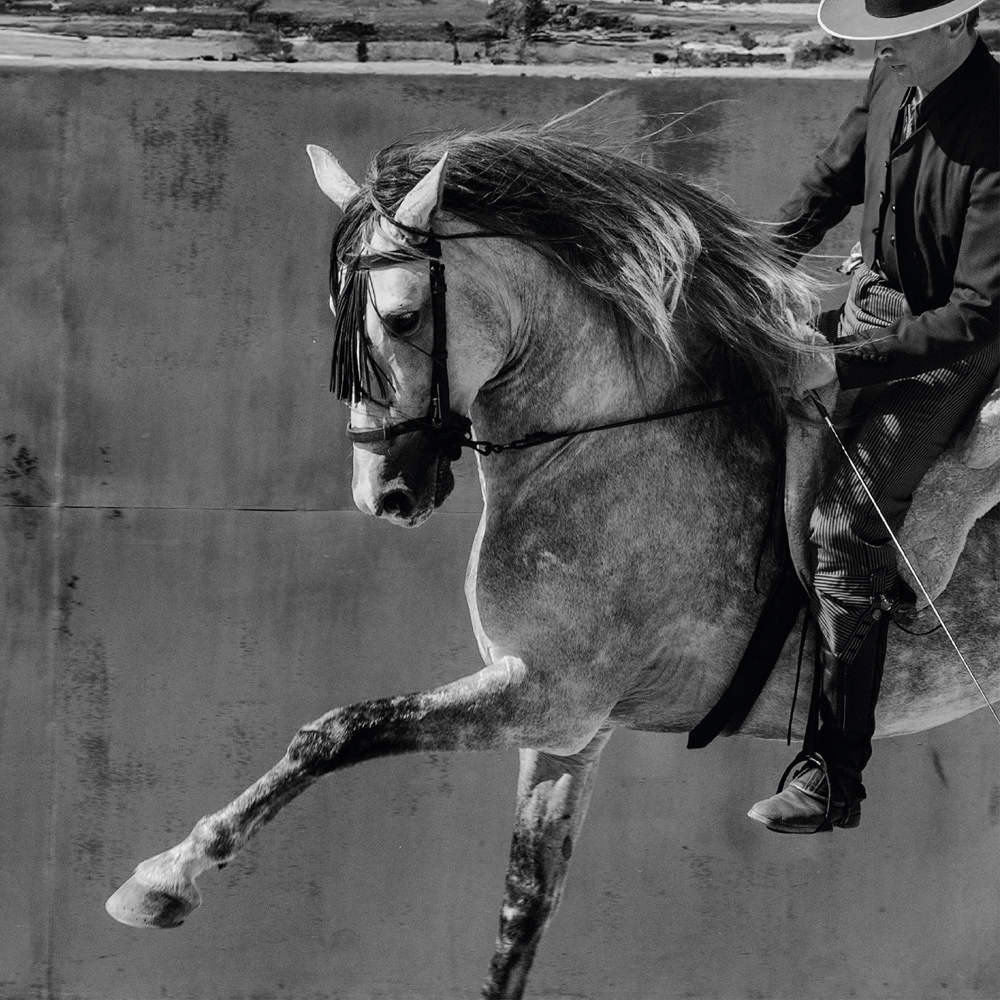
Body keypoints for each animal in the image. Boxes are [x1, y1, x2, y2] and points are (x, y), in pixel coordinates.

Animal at [105, 120, 1000, 999]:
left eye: (402, 319)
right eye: (337, 311)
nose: (382, 494)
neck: (608, 438)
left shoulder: (549, 694)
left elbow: (335, 731)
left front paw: (165, 878)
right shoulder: (565, 734)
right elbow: (522, 913)